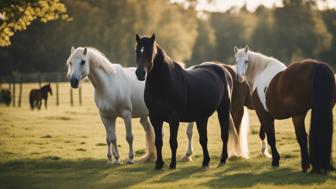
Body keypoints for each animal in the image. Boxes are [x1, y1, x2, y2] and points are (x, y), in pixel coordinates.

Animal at [135, 34, 236, 170]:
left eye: (150, 51)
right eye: (137, 51)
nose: (140, 73)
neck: (163, 84)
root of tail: (223, 69)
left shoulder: (173, 118)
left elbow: (173, 142)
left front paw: (172, 164)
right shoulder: (155, 117)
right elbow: (158, 142)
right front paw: (159, 164)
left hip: (223, 109)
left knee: (224, 135)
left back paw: (223, 160)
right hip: (202, 117)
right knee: (203, 139)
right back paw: (206, 162)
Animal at [235, 45, 334, 173]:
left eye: (246, 61)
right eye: (236, 60)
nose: (239, 77)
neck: (261, 72)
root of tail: (317, 65)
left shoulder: (264, 115)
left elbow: (271, 138)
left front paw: (275, 161)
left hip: (298, 115)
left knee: (301, 137)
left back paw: (305, 166)